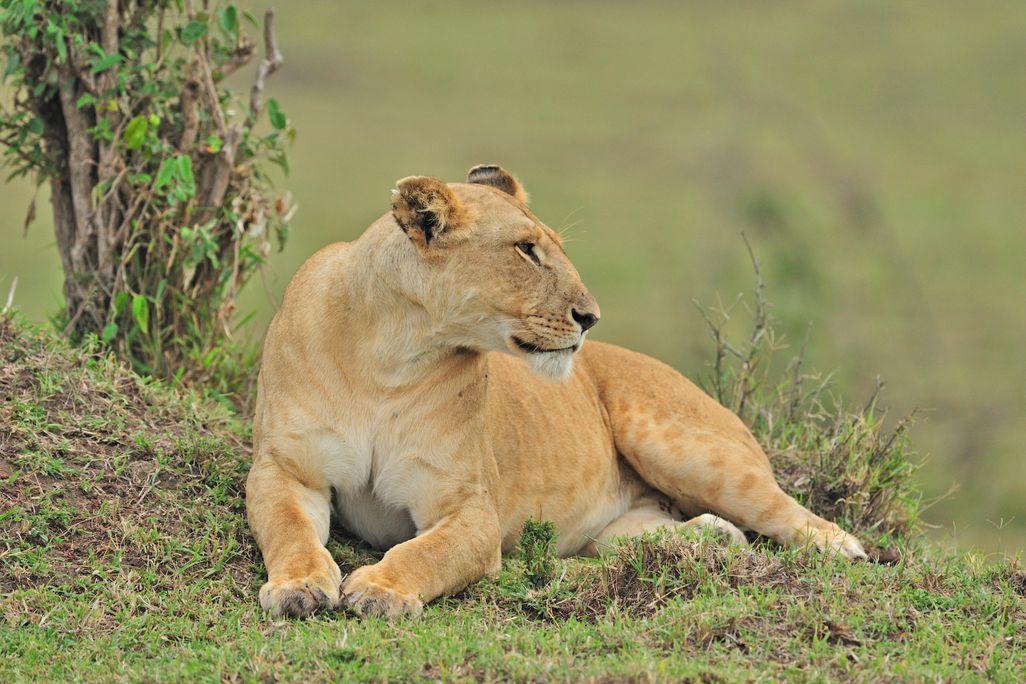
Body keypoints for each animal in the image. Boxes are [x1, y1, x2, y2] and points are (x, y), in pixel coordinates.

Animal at [246, 164, 866, 619]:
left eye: (554, 246)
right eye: (526, 249)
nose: (590, 318)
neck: (393, 354)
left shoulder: (472, 509)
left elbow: (426, 551)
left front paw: (380, 590)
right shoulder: (287, 469)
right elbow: (289, 529)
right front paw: (298, 587)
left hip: (687, 450)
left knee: (794, 517)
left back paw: (843, 550)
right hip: (630, 528)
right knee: (709, 532)